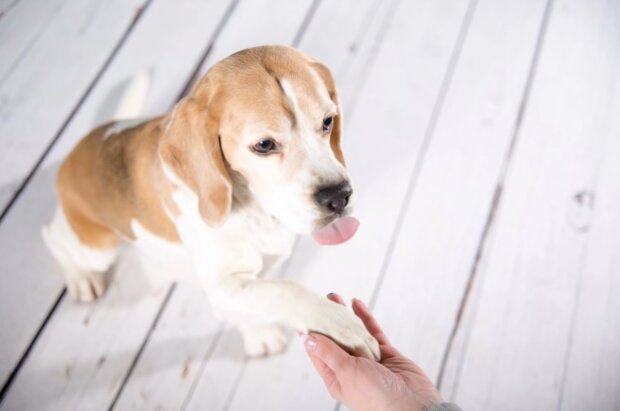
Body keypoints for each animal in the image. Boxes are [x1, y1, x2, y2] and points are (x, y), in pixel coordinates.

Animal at [42, 45, 378, 360]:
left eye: (327, 122)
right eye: (264, 145)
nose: (339, 196)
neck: (254, 209)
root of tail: (98, 134)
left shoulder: (251, 279)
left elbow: (259, 301)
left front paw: (259, 335)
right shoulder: (223, 285)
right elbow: (287, 290)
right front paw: (341, 325)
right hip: (98, 247)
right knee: (53, 236)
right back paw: (81, 278)